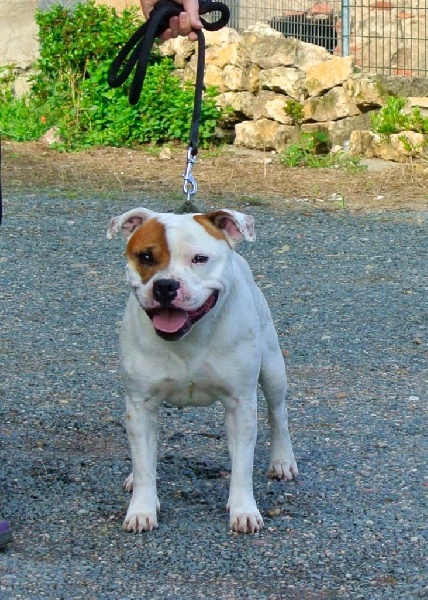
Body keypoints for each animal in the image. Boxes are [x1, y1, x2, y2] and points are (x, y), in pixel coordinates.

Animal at [107, 207, 298, 533]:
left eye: (199, 259)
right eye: (145, 257)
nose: (165, 285)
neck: (190, 336)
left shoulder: (240, 404)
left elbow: (243, 466)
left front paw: (243, 510)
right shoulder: (140, 406)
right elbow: (145, 463)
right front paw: (142, 509)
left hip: (273, 368)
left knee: (277, 413)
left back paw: (282, 461)